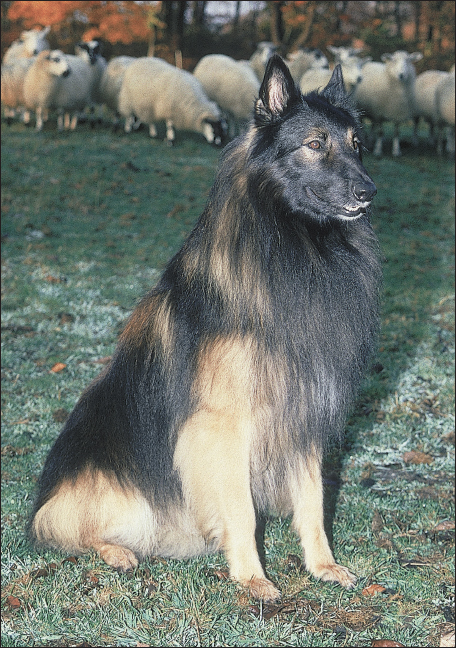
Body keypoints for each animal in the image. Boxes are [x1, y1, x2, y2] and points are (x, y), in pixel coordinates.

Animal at [28, 57, 382, 604]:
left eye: (356, 143)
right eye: (314, 143)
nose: (368, 192)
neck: (297, 245)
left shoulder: (300, 411)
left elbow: (313, 500)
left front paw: (322, 567)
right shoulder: (221, 427)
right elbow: (241, 509)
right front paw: (253, 578)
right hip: (119, 496)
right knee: (68, 530)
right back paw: (115, 552)